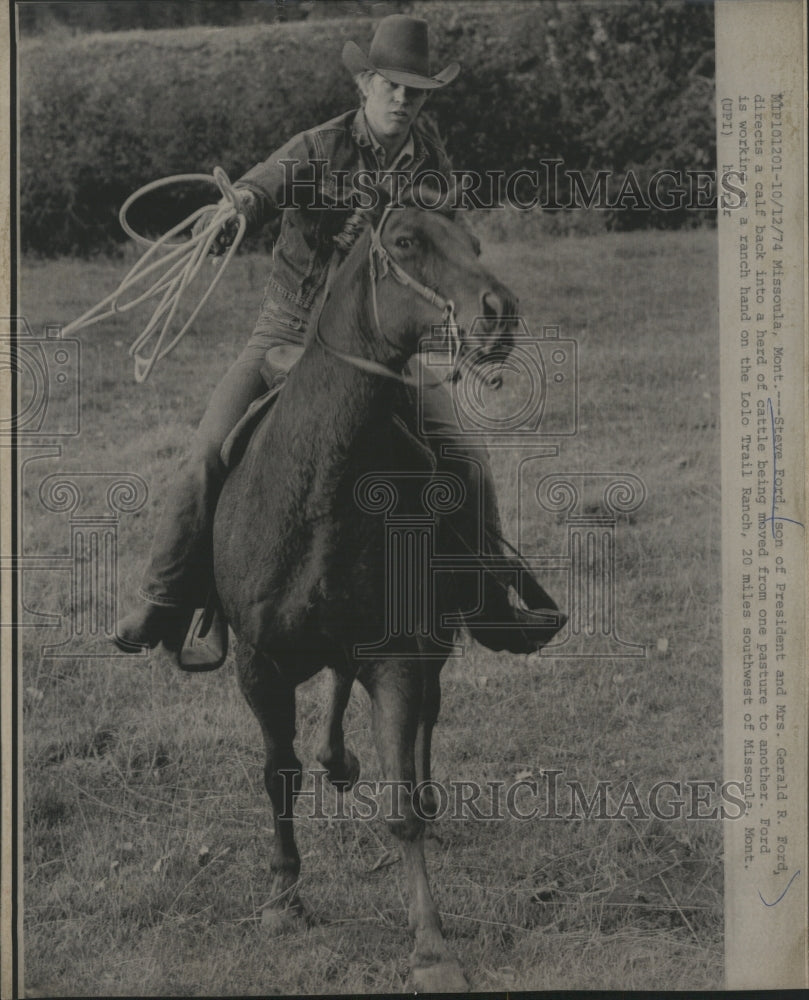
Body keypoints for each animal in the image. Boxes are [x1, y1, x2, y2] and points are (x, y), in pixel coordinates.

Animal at [215, 195, 540, 992]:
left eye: (474, 243)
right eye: (407, 240)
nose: (500, 311)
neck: (313, 492)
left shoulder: (396, 653)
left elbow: (398, 804)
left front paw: (430, 946)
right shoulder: (257, 663)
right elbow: (278, 775)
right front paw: (284, 897)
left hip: (434, 639)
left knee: (424, 714)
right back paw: (335, 760)